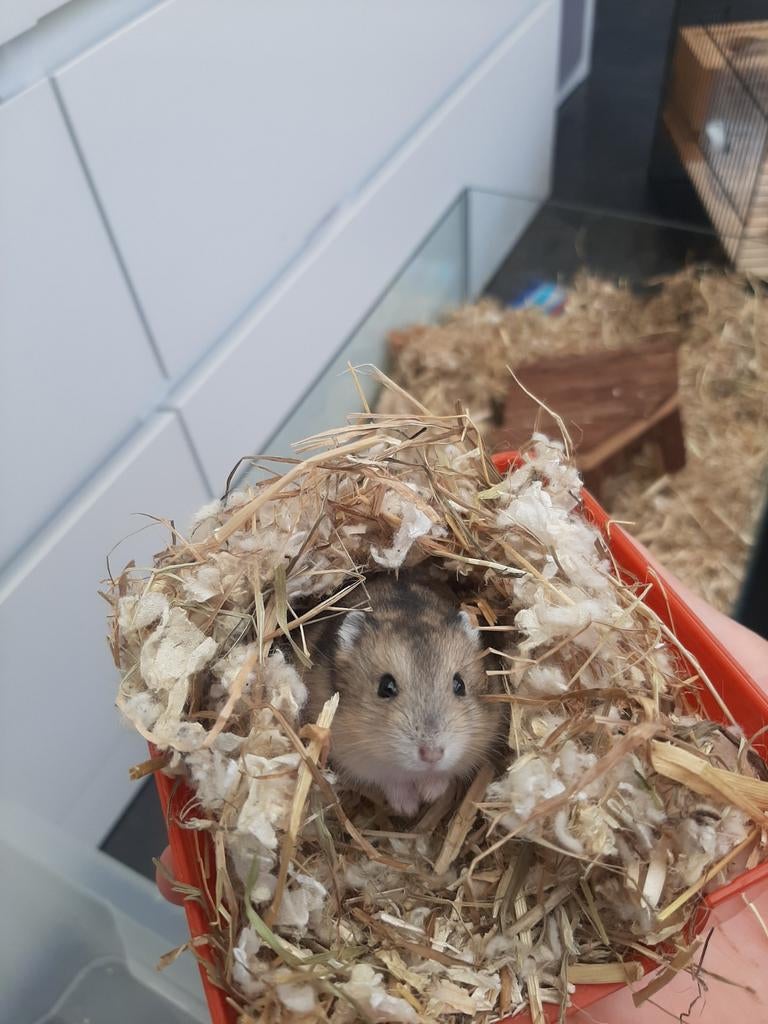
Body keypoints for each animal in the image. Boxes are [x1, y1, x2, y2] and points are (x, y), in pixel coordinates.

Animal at [302, 574, 506, 816]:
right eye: (386, 687)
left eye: (460, 685)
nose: (432, 756)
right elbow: (392, 779)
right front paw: (409, 809)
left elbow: (444, 774)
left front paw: (429, 794)